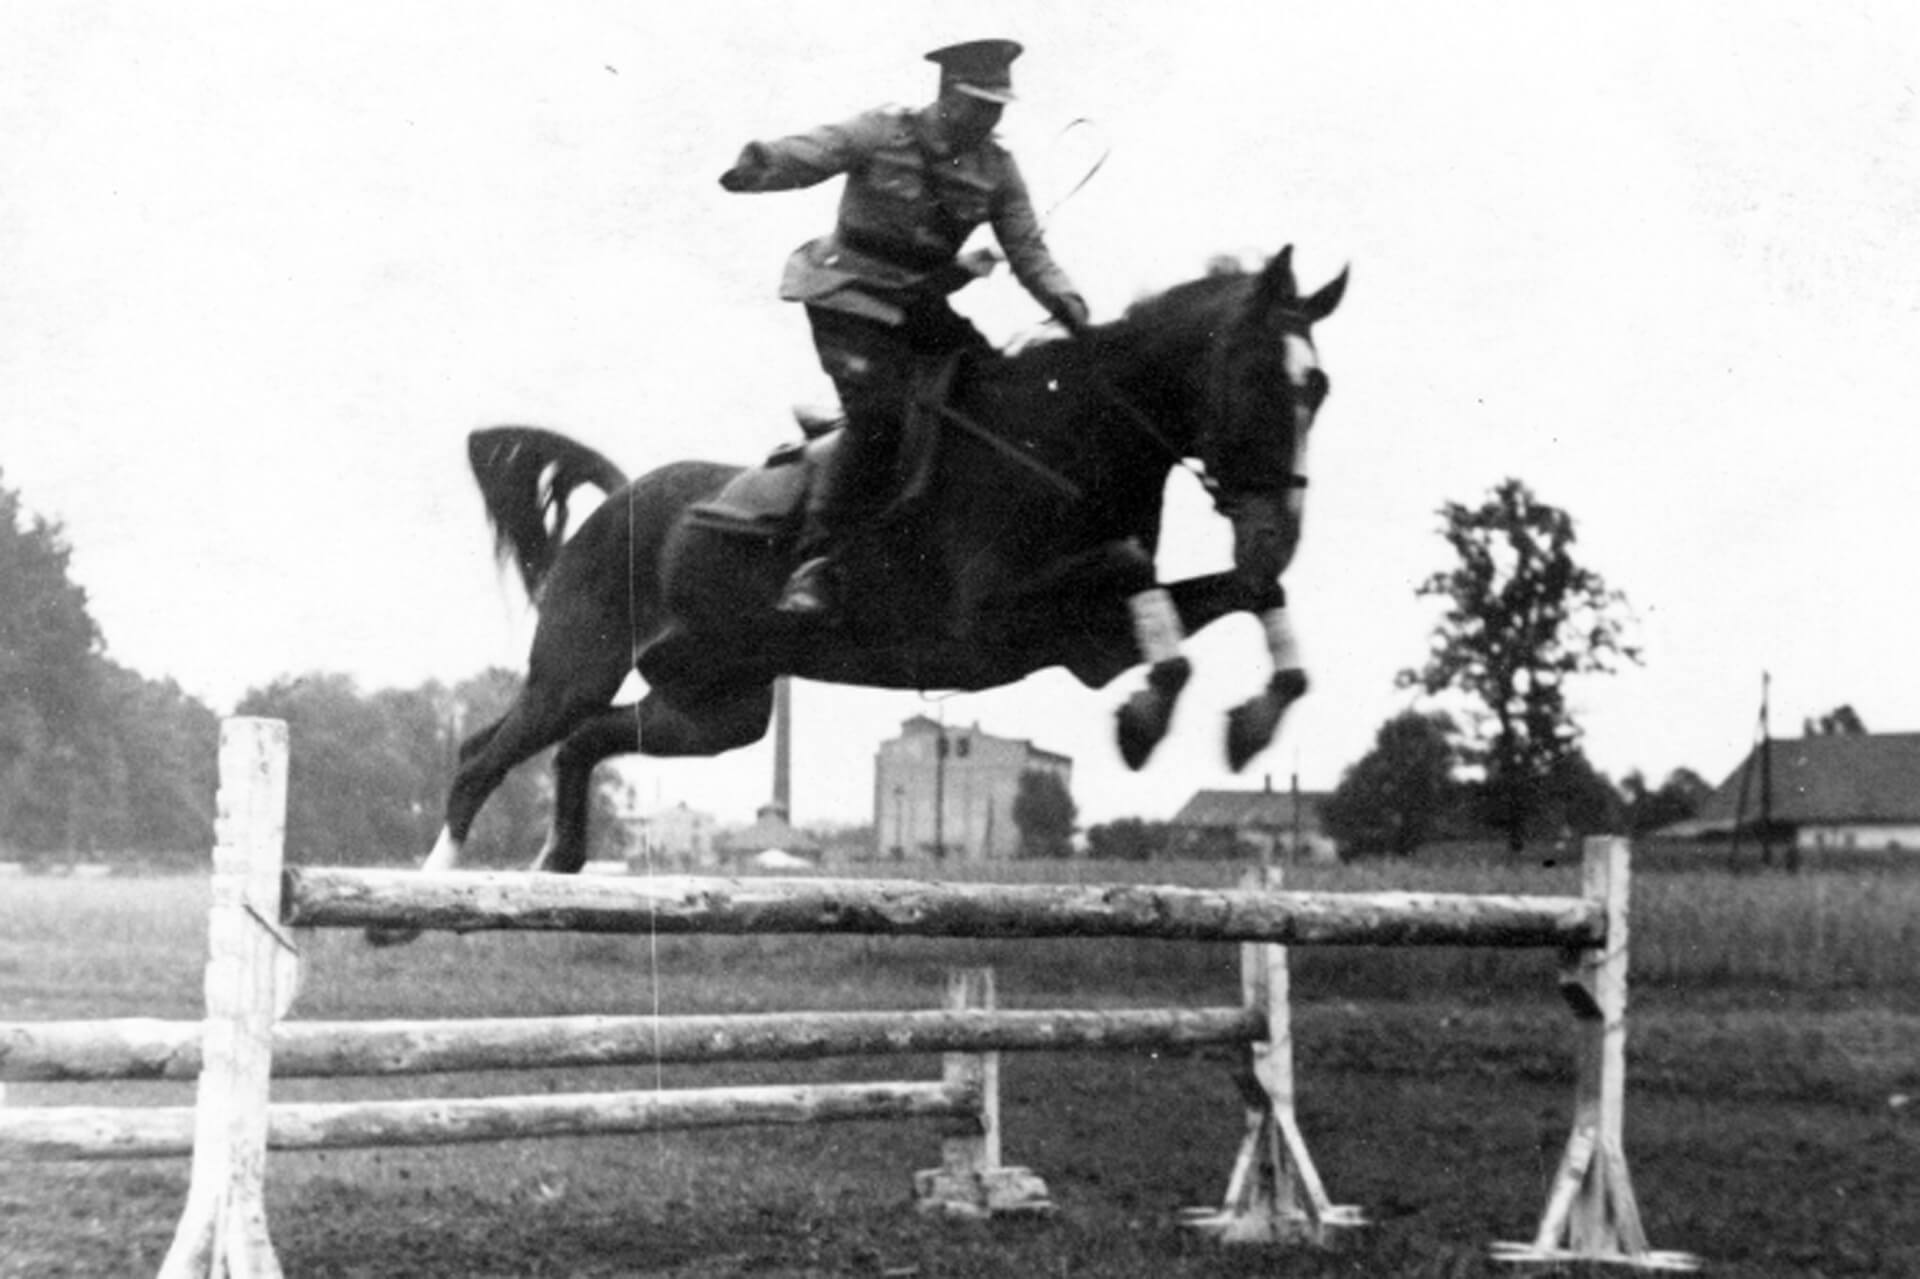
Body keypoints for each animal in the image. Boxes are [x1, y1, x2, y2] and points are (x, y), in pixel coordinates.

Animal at [412, 245, 1344, 887]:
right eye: (1260, 380)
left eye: (1321, 388)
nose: (1278, 532)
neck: (1062, 436)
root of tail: (620, 494)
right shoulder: (994, 623)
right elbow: (1130, 570)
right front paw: (1149, 719)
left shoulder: (1091, 645)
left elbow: (1238, 591)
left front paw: (1251, 720)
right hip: (578, 667)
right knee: (485, 755)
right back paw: (426, 898)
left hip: (719, 708)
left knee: (586, 743)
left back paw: (558, 863)